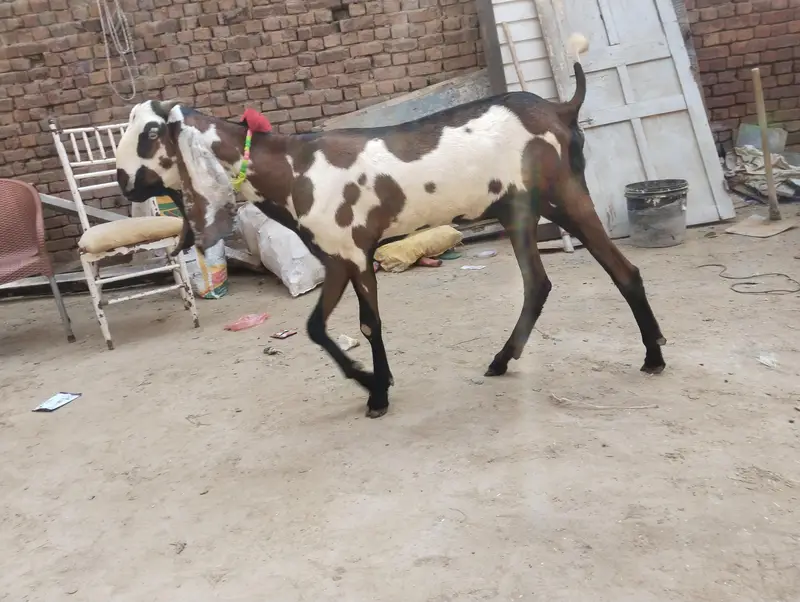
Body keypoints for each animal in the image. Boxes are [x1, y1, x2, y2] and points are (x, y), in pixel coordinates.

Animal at [115, 36, 667, 418]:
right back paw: (502, 359)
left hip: (565, 195)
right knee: (538, 283)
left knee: (622, 269)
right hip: (520, 210)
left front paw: (377, 391)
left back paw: (653, 355)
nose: (122, 180)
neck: (292, 168)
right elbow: (317, 327)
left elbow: (368, 324)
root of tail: (560, 107)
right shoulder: (339, 256)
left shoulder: (353, 254)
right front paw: (370, 381)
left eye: (150, 133)